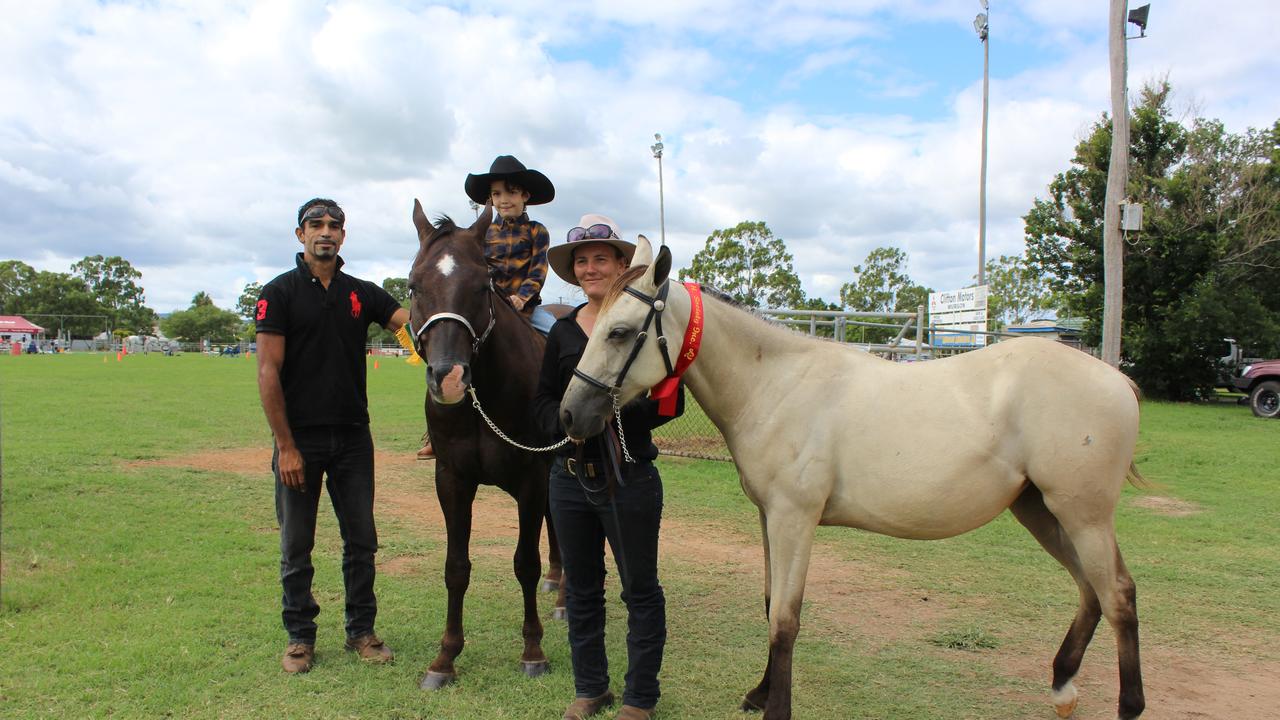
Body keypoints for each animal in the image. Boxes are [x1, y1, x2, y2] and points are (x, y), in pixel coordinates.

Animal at [407, 198, 563, 686]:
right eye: (413, 286)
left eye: (480, 287)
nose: (449, 378)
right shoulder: (452, 480)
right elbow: (456, 568)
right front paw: (445, 658)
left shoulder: (531, 478)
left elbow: (525, 563)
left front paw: (532, 651)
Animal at [560, 237, 1152, 717]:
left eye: (619, 332)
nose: (568, 416)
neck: (777, 384)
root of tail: (1116, 379)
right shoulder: (770, 518)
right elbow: (772, 604)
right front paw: (759, 694)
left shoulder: (795, 520)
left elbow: (786, 619)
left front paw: (777, 708)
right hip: (1041, 510)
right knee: (1091, 590)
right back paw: (1063, 687)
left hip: (1082, 515)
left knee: (1118, 595)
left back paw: (1128, 705)